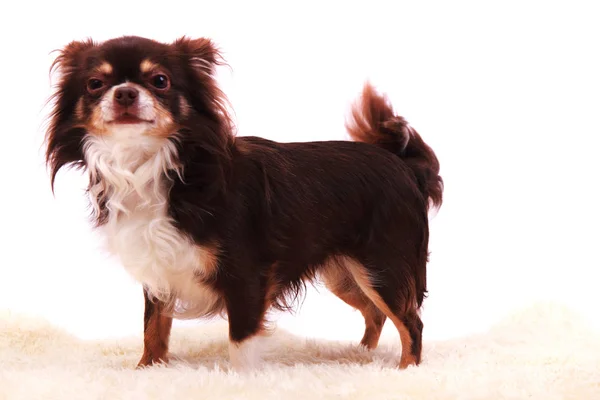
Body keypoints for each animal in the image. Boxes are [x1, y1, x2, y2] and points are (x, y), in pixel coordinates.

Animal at [45, 36, 440, 370]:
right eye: (95, 84)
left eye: (159, 80)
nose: (125, 93)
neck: (153, 165)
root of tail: (404, 166)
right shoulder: (160, 268)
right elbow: (153, 327)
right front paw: (146, 371)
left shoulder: (246, 275)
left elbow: (240, 339)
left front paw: (241, 379)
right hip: (345, 274)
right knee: (376, 314)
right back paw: (360, 356)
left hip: (382, 267)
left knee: (411, 322)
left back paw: (405, 370)